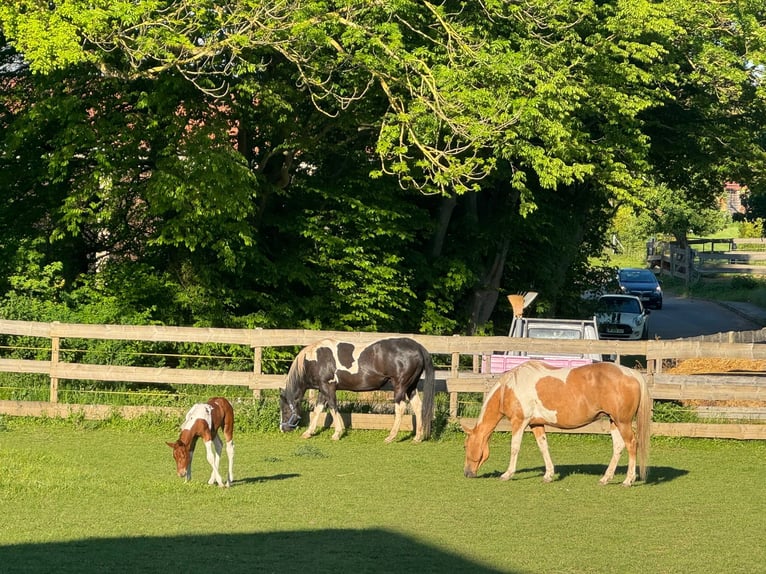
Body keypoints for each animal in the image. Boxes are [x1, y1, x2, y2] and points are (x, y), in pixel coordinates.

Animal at [279, 337, 435, 442]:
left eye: (285, 410)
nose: (283, 429)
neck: (314, 360)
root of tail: (417, 346)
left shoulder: (328, 387)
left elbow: (333, 408)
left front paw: (337, 433)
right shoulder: (322, 389)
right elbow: (317, 410)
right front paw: (308, 433)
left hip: (400, 386)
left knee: (401, 408)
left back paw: (391, 436)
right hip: (411, 387)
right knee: (418, 407)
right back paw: (417, 437)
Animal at [462, 361, 651, 486]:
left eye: (465, 446)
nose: (467, 473)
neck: (509, 388)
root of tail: (632, 374)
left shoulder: (519, 422)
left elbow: (514, 447)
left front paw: (507, 474)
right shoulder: (536, 425)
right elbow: (543, 447)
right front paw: (548, 475)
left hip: (623, 422)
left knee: (631, 444)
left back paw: (628, 480)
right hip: (614, 421)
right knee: (618, 446)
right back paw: (606, 478)